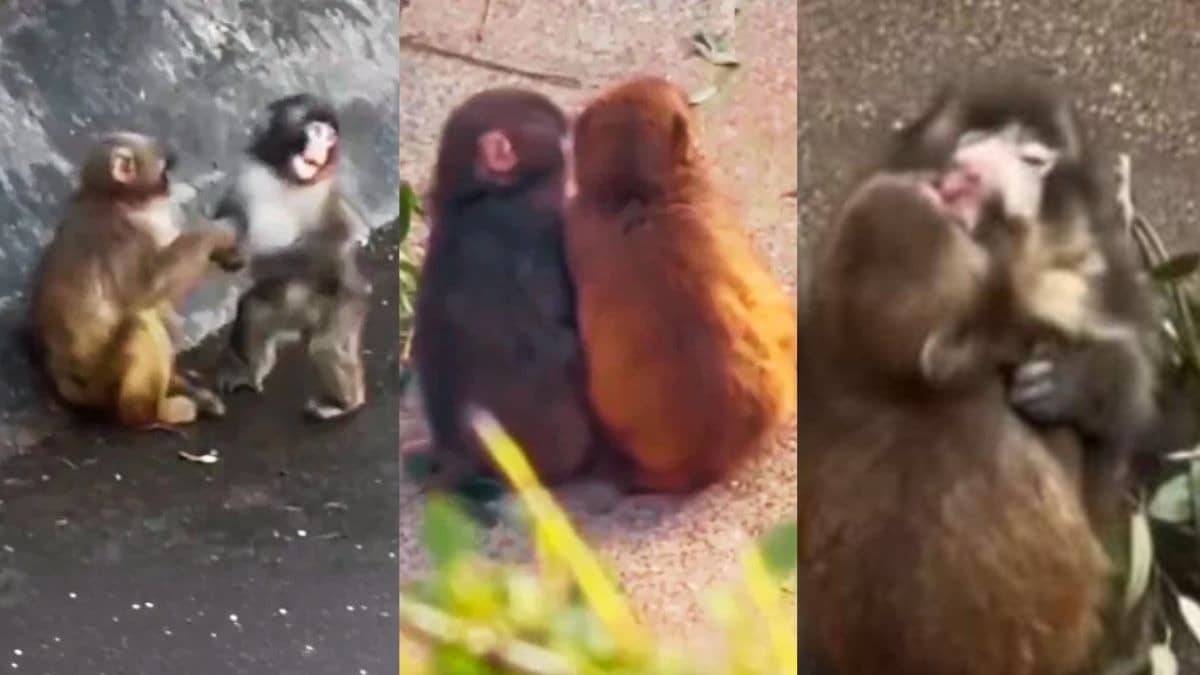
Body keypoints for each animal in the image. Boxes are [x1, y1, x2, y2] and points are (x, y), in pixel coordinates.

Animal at [27, 131, 237, 429]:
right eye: (163, 168)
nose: (169, 183)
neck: (116, 199)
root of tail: (63, 380)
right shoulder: (124, 237)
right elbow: (147, 290)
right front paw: (219, 233)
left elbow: (159, 298)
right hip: (102, 385)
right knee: (140, 321)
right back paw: (149, 414)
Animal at [211, 93, 372, 420]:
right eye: (315, 131)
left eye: (330, 136)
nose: (323, 146)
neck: (287, 178)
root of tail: (305, 322)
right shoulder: (247, 176)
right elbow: (230, 218)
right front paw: (230, 253)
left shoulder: (329, 190)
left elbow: (343, 238)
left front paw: (258, 260)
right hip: (282, 309)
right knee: (253, 313)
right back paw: (248, 373)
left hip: (343, 305)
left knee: (326, 346)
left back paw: (344, 404)